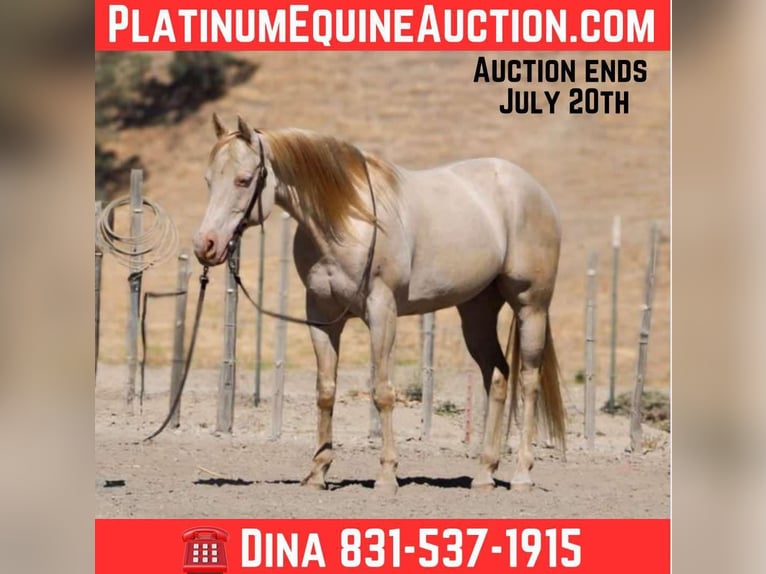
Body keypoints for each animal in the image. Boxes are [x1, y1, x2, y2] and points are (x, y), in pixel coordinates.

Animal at [193, 114, 566, 493]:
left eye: (243, 180)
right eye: (208, 180)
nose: (205, 245)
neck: (348, 220)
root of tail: (533, 190)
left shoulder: (382, 311)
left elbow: (383, 391)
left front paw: (387, 475)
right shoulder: (321, 315)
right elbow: (325, 390)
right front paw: (317, 473)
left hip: (531, 306)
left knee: (528, 381)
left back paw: (522, 475)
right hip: (477, 312)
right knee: (499, 377)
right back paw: (484, 474)